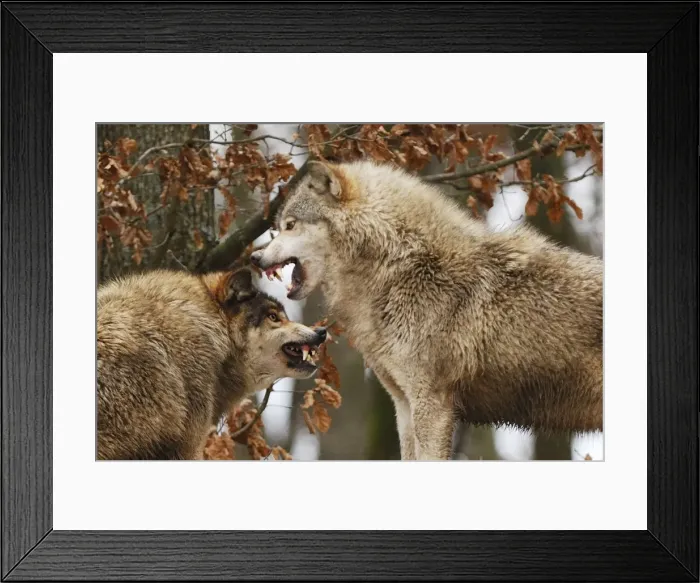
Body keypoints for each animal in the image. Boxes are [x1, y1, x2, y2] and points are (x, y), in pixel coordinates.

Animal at [251, 160, 603, 460]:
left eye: (290, 226)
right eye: (280, 226)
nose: (254, 257)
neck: (402, 267)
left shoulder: (432, 403)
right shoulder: (403, 404)